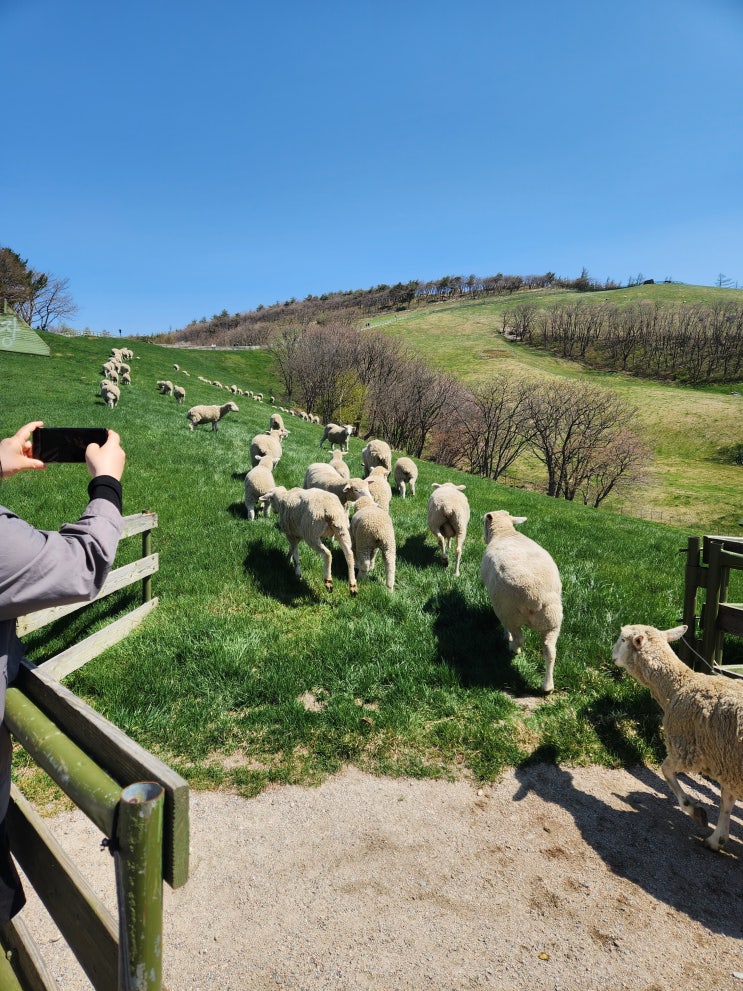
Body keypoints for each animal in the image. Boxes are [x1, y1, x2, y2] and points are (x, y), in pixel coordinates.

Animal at [480, 516, 560, 692]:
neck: (505, 532)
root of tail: (536, 597)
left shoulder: (500, 604)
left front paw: (506, 636)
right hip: (553, 621)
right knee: (550, 651)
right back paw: (547, 686)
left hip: (510, 613)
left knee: (519, 637)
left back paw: (513, 648)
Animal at [612, 624, 743, 848]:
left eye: (622, 639)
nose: (611, 655)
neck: (679, 686)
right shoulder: (727, 763)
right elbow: (726, 800)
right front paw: (717, 839)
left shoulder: (686, 749)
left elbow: (666, 771)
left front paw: (694, 810)